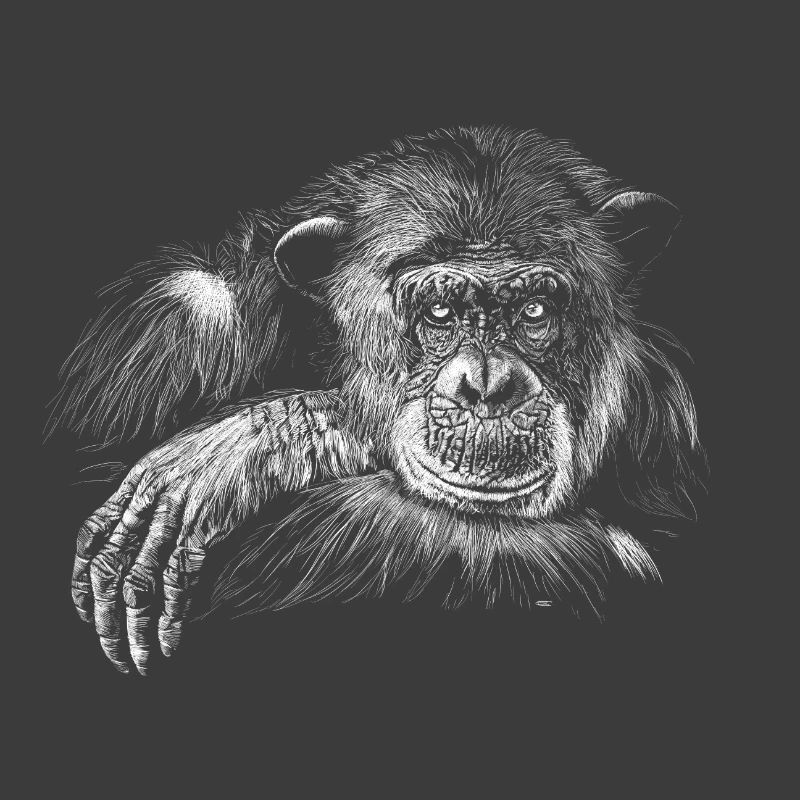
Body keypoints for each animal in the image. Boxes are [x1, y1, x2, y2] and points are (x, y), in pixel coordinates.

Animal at [49, 125, 705, 675]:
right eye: (439, 312)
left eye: (534, 310)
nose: (487, 385)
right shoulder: (171, 325)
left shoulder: (662, 406)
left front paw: (250, 445)